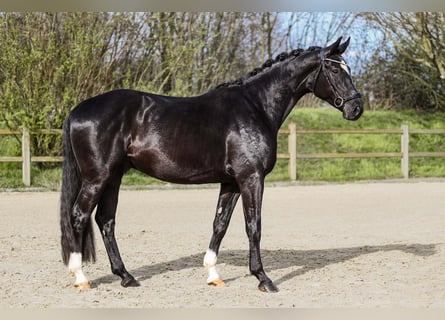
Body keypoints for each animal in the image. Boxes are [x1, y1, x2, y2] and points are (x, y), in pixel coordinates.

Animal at [60, 37, 362, 292]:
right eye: (334, 70)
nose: (356, 108)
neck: (256, 106)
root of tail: (77, 110)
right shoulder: (251, 178)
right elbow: (254, 225)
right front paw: (263, 278)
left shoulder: (231, 182)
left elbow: (220, 224)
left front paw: (213, 274)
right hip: (97, 178)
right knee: (78, 215)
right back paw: (81, 277)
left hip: (113, 177)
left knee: (105, 221)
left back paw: (126, 276)